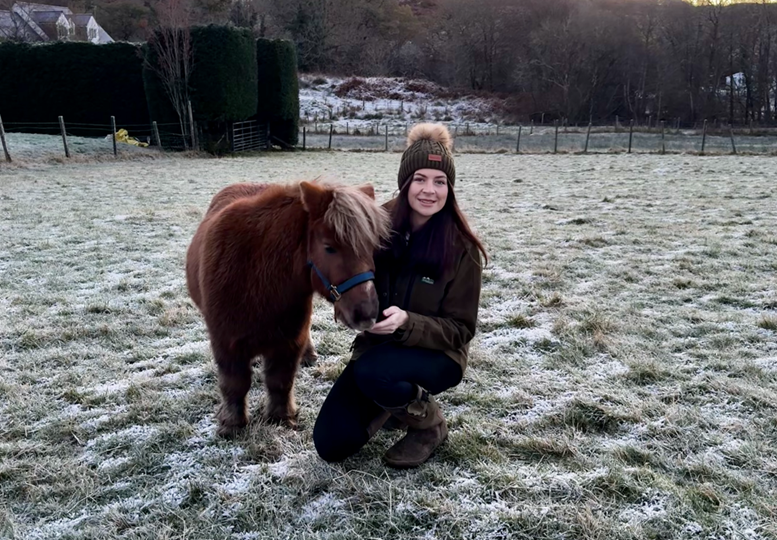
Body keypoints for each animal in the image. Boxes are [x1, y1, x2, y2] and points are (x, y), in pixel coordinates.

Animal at [186, 180, 392, 434]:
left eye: (372, 247)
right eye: (329, 247)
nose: (367, 313)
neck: (257, 278)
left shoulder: (290, 340)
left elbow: (280, 381)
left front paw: (281, 417)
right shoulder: (226, 343)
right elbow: (235, 384)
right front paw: (233, 424)